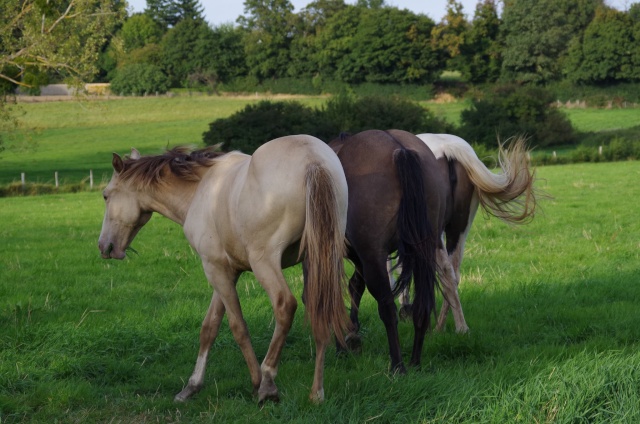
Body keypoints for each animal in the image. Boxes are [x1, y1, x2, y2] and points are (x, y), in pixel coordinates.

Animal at [99, 137, 350, 406]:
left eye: (105, 196)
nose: (104, 247)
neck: (199, 189)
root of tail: (313, 160)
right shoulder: (227, 271)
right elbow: (209, 327)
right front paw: (192, 386)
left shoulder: (215, 269)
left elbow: (237, 326)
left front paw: (256, 383)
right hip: (320, 259)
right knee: (321, 310)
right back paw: (316, 393)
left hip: (265, 262)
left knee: (285, 305)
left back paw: (268, 381)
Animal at [324, 129, 444, 372]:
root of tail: (399, 149)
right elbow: (354, 286)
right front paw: (351, 335)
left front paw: (342, 345)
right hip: (423, 251)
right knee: (422, 305)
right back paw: (415, 362)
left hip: (374, 257)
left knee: (387, 308)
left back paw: (398, 366)